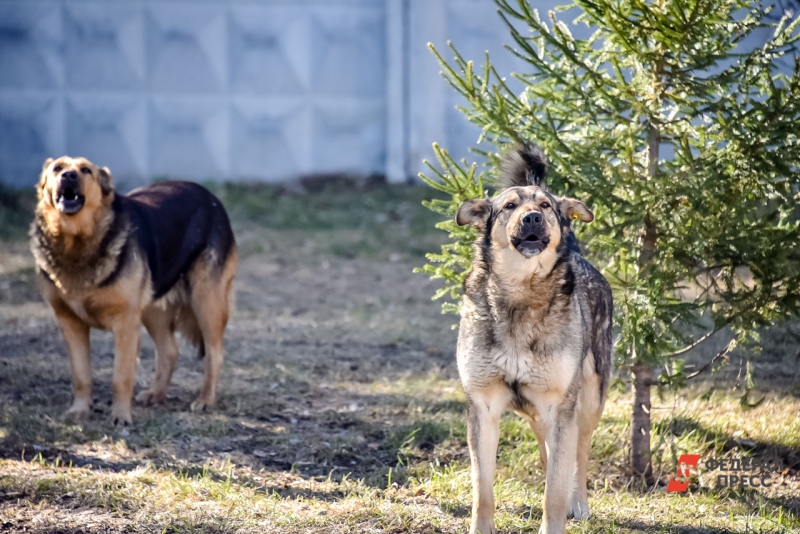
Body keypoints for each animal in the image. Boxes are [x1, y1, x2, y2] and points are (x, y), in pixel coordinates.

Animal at [31, 157, 238, 430]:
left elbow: (121, 377)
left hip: (206, 301)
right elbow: (81, 375)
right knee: (170, 350)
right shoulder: (70, 324)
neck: (76, 242)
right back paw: (156, 394)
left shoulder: (126, 325)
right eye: (57, 168)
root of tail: (209, 195)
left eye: (86, 170)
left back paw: (205, 399)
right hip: (152, 308)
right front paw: (79, 410)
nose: (68, 176)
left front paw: (121, 416)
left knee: (215, 353)